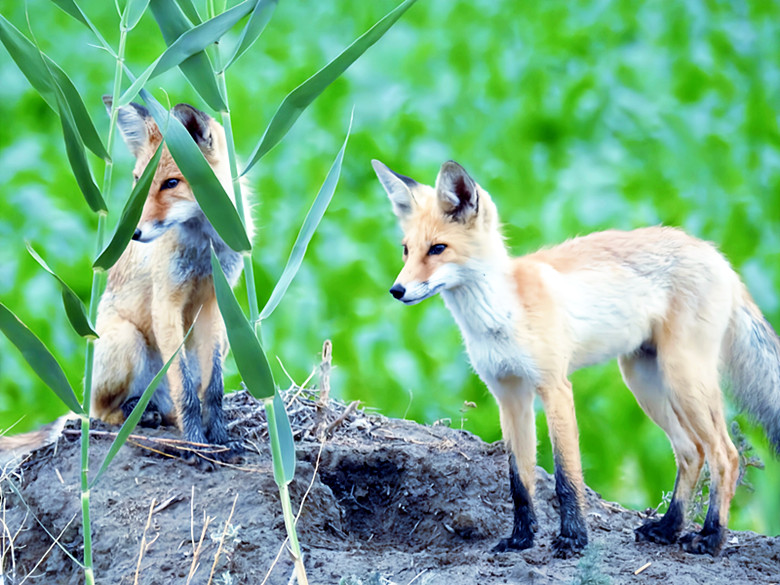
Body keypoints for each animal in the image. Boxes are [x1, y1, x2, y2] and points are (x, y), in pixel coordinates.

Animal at [92, 98, 251, 454]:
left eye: (171, 183)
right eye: (139, 179)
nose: (133, 233)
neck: (204, 249)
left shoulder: (215, 302)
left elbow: (213, 388)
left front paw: (220, 438)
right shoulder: (167, 302)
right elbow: (185, 388)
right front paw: (196, 443)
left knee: (170, 407)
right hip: (127, 340)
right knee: (101, 413)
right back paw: (135, 415)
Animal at [374, 159, 780, 556]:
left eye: (438, 249)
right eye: (406, 250)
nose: (397, 290)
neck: (498, 316)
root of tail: (715, 253)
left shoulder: (555, 387)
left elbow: (566, 476)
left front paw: (573, 539)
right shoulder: (509, 395)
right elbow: (519, 481)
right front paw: (521, 539)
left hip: (683, 379)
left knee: (725, 455)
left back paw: (711, 537)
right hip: (644, 382)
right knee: (691, 452)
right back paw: (668, 528)